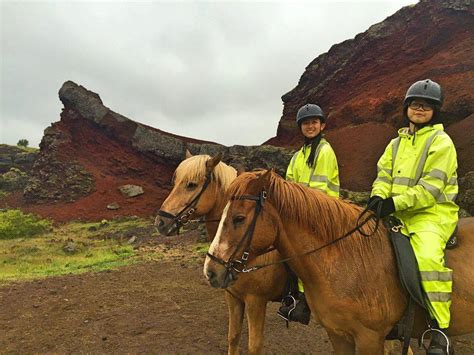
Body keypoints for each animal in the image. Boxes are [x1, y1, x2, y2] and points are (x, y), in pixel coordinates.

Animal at [156, 154, 288, 355]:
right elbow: (233, 337)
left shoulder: (256, 301)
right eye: (175, 182)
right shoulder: (233, 297)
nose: (161, 222)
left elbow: (254, 347)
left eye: (191, 185)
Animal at [205, 171, 474, 354]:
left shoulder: (369, 338)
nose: (211, 270)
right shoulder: (338, 335)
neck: (348, 261)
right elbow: (233, 337)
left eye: (239, 218)